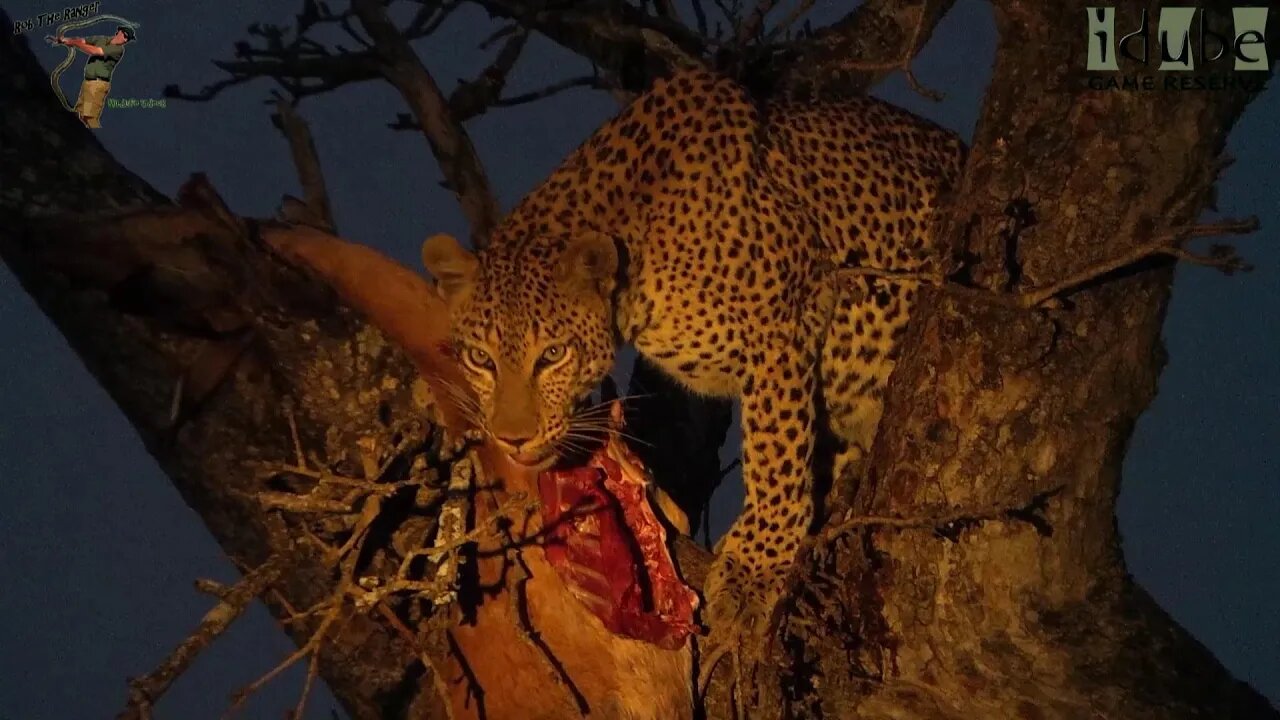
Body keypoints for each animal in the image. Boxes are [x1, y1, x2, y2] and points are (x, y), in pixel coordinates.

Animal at [424, 65, 962, 671]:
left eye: (553, 355)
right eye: (480, 359)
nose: (512, 439)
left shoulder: (783, 322)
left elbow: (774, 454)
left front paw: (757, 573)